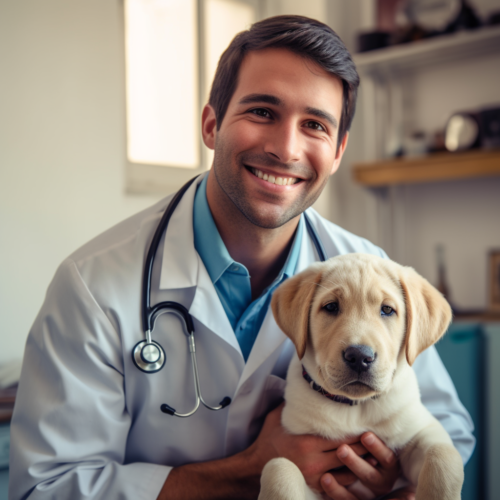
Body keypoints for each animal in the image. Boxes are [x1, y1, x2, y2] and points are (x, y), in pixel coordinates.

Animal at [260, 254, 462, 500]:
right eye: (331, 307)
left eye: (387, 310)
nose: (359, 356)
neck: (355, 408)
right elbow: (279, 468)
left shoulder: (419, 431)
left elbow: (443, 456)